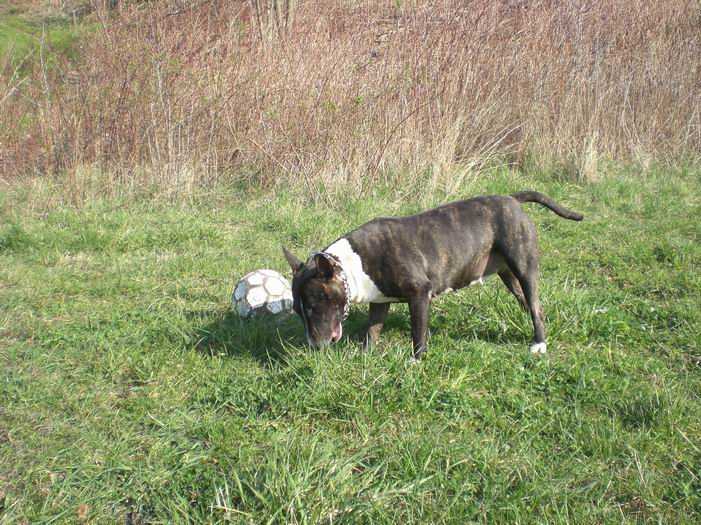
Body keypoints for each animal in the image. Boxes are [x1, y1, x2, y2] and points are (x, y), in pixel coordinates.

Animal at [283, 191, 583, 359]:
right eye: (297, 310)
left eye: (313, 306)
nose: (314, 345)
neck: (353, 265)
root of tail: (513, 199)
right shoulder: (379, 301)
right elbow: (372, 330)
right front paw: (365, 356)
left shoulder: (419, 294)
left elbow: (418, 332)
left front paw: (416, 360)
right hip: (507, 274)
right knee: (528, 303)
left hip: (524, 266)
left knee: (535, 304)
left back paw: (539, 344)